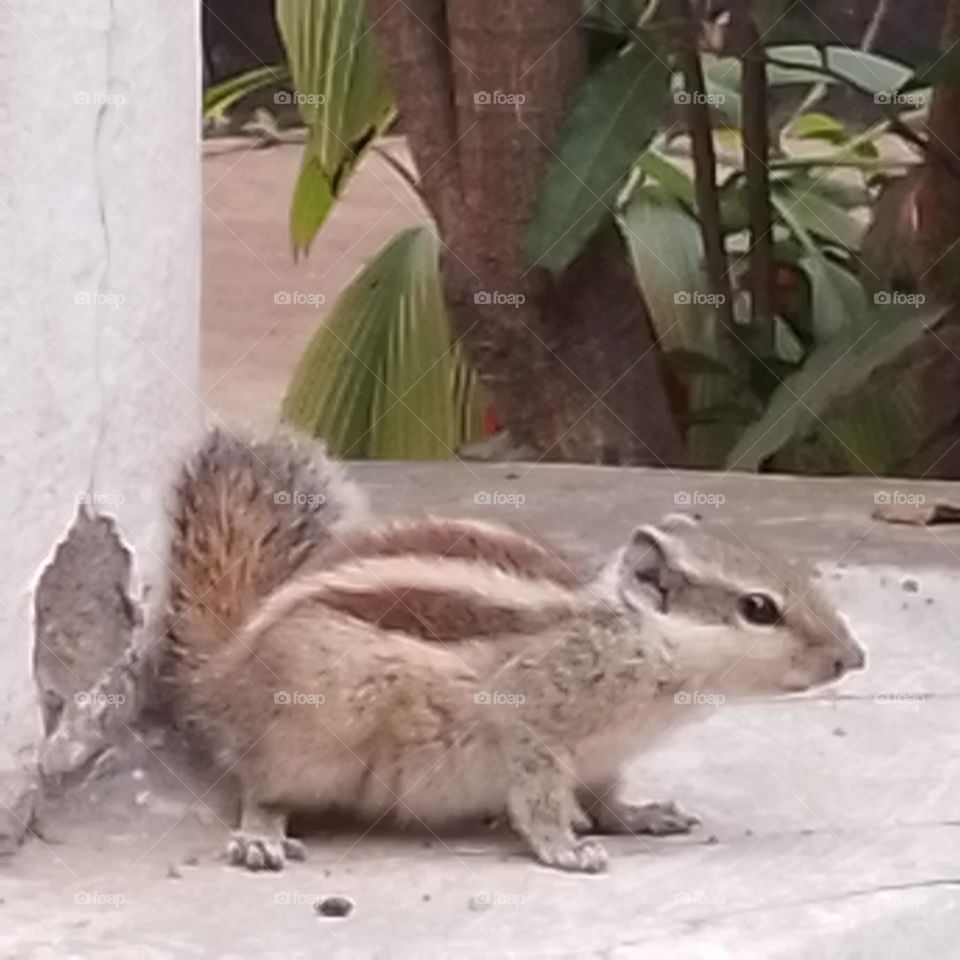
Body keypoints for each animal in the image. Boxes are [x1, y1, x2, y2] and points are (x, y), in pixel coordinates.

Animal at [162, 428, 865, 874]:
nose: (851, 658)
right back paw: (261, 835)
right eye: (759, 609)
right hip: (310, 729)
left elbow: (605, 796)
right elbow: (539, 796)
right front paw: (564, 848)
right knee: (260, 786)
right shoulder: (533, 722)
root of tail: (220, 672)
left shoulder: (604, 754)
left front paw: (636, 815)